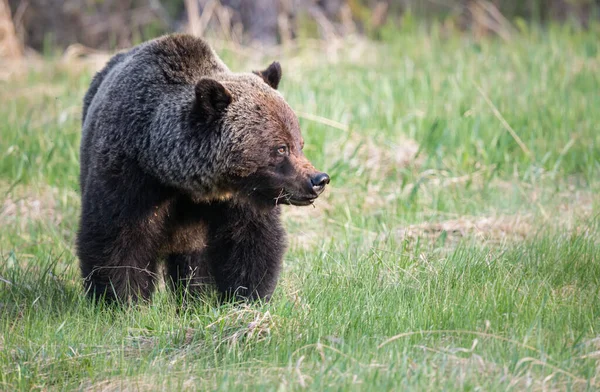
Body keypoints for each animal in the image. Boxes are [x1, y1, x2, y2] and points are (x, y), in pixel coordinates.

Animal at [77, 34, 330, 304]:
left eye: (299, 144)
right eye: (281, 148)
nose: (318, 179)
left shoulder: (240, 198)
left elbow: (251, 243)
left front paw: (248, 297)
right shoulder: (129, 178)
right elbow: (117, 240)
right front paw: (122, 300)